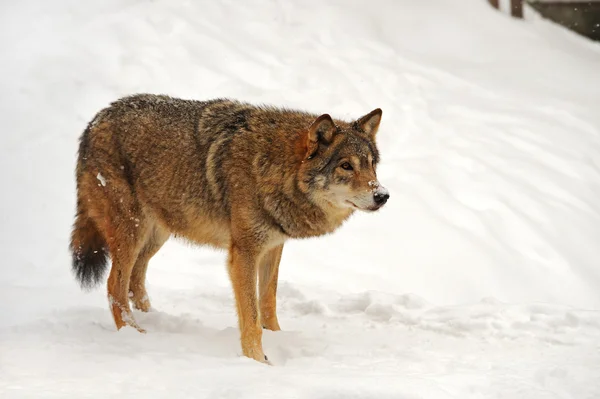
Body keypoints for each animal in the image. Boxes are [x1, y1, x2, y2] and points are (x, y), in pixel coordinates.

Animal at [69, 94, 390, 366]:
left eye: (372, 165)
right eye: (346, 166)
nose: (382, 195)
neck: (272, 167)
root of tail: (95, 120)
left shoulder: (272, 247)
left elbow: (268, 304)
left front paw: (276, 338)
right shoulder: (244, 254)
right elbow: (251, 317)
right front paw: (258, 362)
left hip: (158, 233)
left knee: (135, 280)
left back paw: (155, 321)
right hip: (133, 232)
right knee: (115, 285)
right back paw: (134, 333)